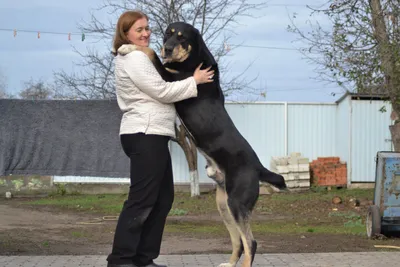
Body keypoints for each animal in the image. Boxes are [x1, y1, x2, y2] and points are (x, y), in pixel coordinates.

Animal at [122, 22, 288, 267]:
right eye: (167, 34)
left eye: (182, 37)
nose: (168, 48)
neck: (193, 60)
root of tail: (258, 167)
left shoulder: (171, 81)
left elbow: (150, 53)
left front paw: (126, 47)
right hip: (224, 204)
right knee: (238, 240)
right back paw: (229, 263)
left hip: (237, 203)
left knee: (251, 242)